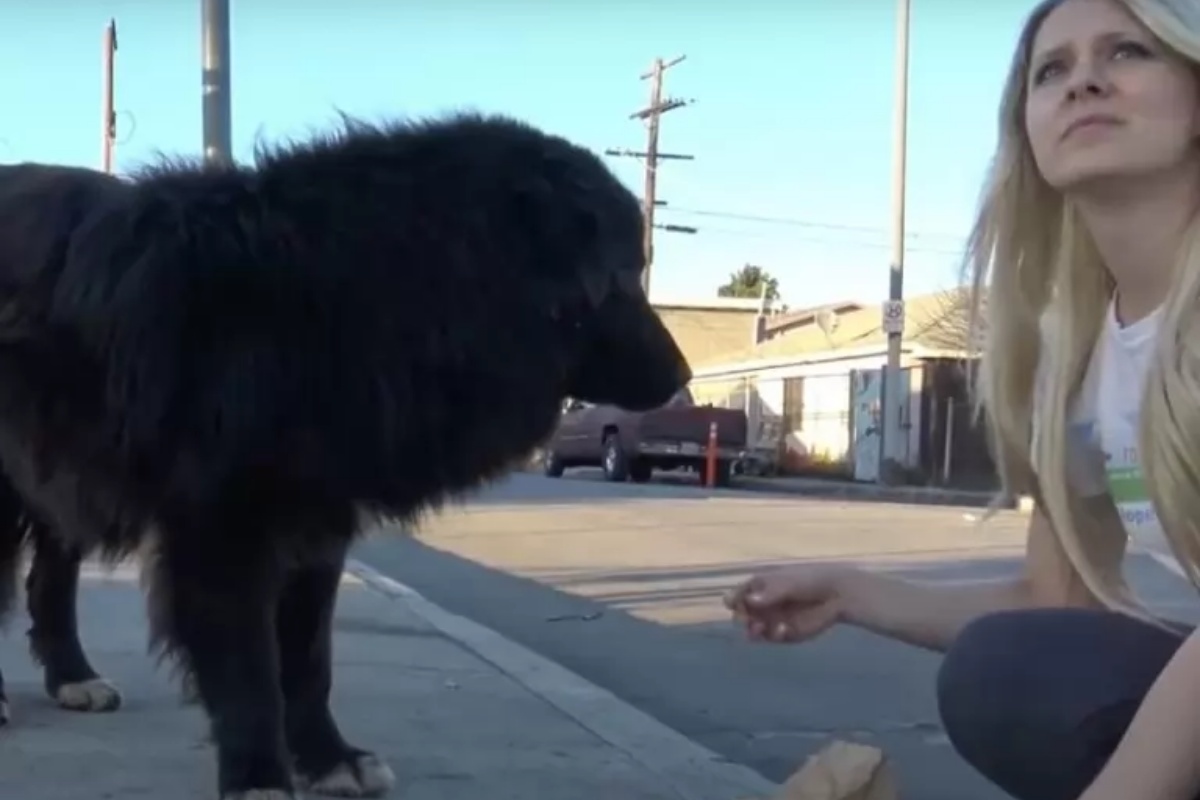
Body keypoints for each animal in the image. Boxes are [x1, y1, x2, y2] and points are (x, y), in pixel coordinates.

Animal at [0, 113, 696, 800]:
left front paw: (329, 757)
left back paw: (74, 677)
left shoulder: (318, 517)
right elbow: (249, 665)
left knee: (49, 581)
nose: (683, 376)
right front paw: (259, 776)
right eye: (619, 278)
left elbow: (309, 657)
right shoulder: (221, 525)